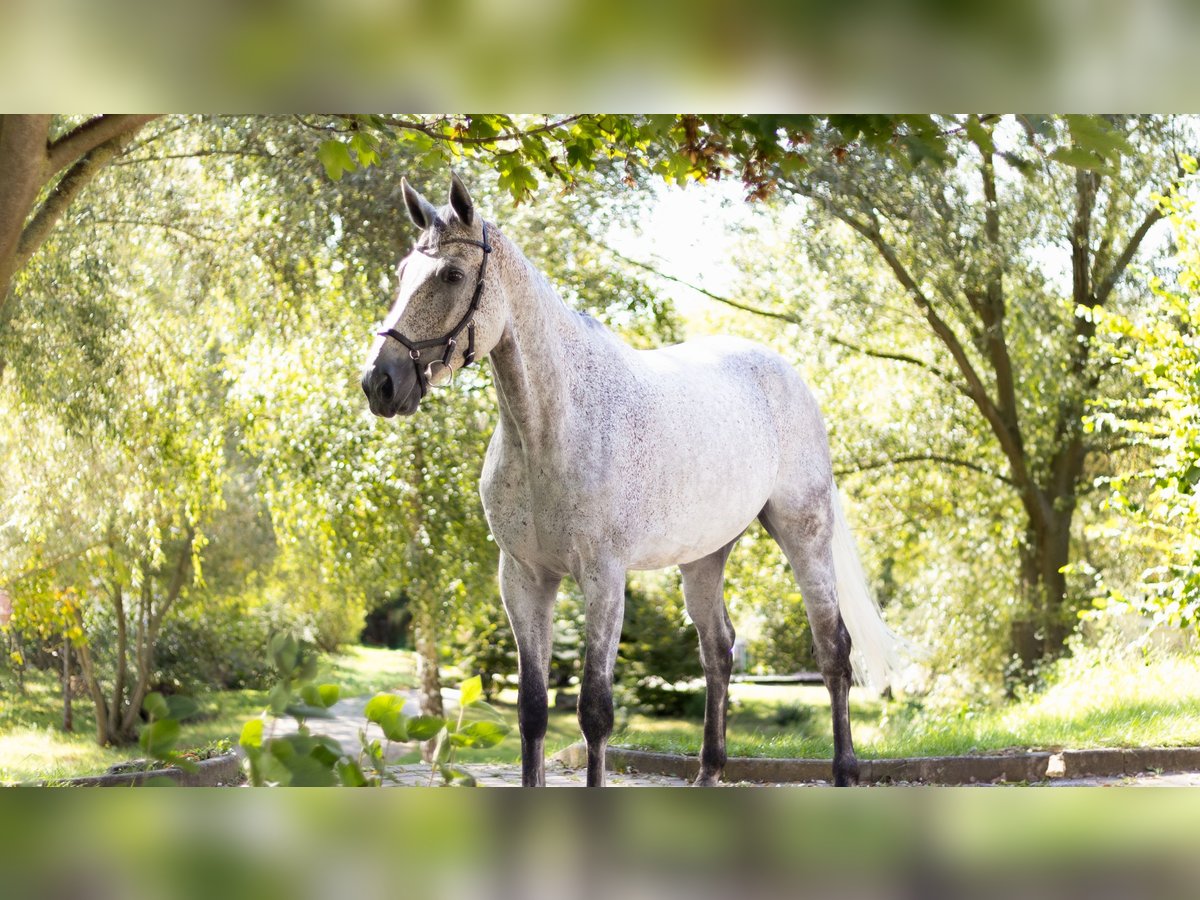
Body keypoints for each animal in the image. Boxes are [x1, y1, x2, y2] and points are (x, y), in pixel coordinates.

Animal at [360, 172, 902, 787]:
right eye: (402, 272)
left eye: (451, 275)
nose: (379, 382)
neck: (552, 428)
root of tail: (788, 376)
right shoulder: (522, 579)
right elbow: (532, 710)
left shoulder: (604, 578)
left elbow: (594, 712)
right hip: (704, 557)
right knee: (718, 651)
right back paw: (709, 771)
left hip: (803, 534)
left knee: (833, 649)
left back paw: (845, 771)